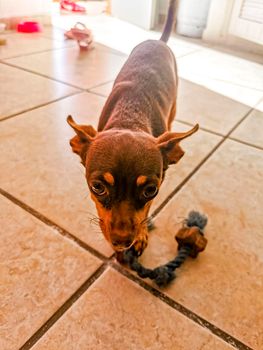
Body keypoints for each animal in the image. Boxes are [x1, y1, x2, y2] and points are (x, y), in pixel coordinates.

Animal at [67, 0, 199, 258]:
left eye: (151, 190)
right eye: (97, 187)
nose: (122, 241)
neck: (130, 117)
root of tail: (157, 41)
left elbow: (145, 212)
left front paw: (142, 235)